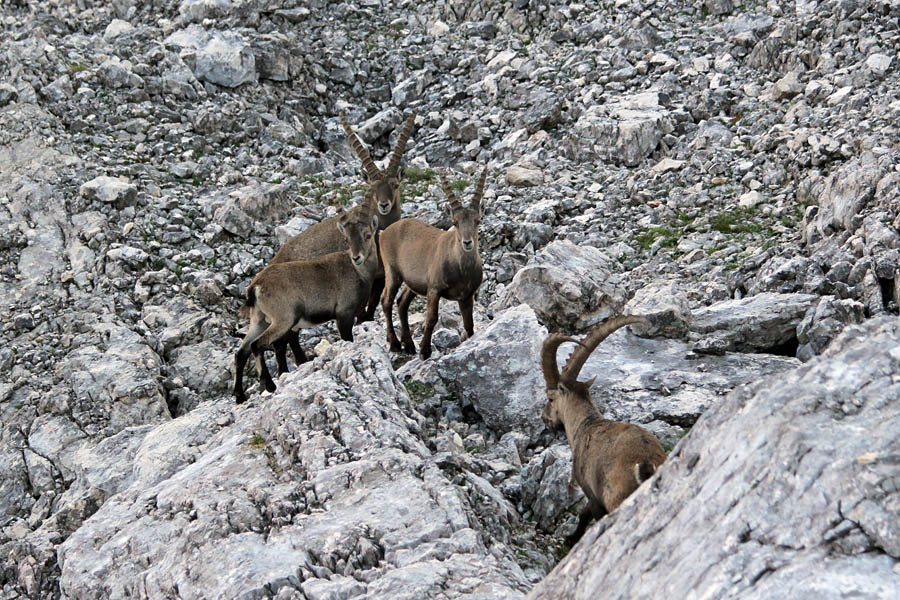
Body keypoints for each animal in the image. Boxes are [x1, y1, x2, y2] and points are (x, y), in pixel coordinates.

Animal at [233, 207, 380, 404]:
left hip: (259, 320)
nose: (357, 257)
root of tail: (255, 287)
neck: (359, 273)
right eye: (347, 240)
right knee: (257, 345)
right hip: (283, 320)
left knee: (241, 352)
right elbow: (347, 339)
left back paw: (240, 396)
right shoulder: (344, 313)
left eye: (368, 235)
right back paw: (270, 385)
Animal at [266, 110, 416, 372]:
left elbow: (371, 307)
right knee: (281, 340)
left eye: (395, 185)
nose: (384, 204)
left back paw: (301, 360)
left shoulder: (378, 279)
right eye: (371, 187)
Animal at [379, 166, 487, 359]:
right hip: (392, 272)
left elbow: (469, 325)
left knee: (402, 302)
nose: (467, 242)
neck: (461, 269)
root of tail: (384, 232)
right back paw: (395, 344)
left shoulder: (466, 296)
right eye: (455, 222)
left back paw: (409, 345)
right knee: (386, 301)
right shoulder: (434, 289)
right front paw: (425, 351)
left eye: (477, 220)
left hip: (413, 282)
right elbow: (431, 319)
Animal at [541, 315, 667, 546]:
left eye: (550, 398)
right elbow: (584, 513)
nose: (545, 419)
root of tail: (646, 465)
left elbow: (586, 514)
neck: (587, 425)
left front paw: (572, 539)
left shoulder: (592, 493)